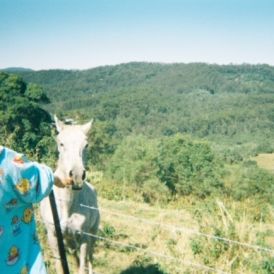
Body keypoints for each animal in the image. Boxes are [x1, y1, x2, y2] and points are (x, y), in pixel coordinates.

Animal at [40, 116, 100, 274]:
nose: (77, 175)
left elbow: (83, 265)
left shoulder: (84, 237)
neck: (66, 204)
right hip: (69, 240)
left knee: (90, 257)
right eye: (61, 143)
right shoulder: (54, 237)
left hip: (92, 234)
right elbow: (60, 265)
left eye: (86, 145)